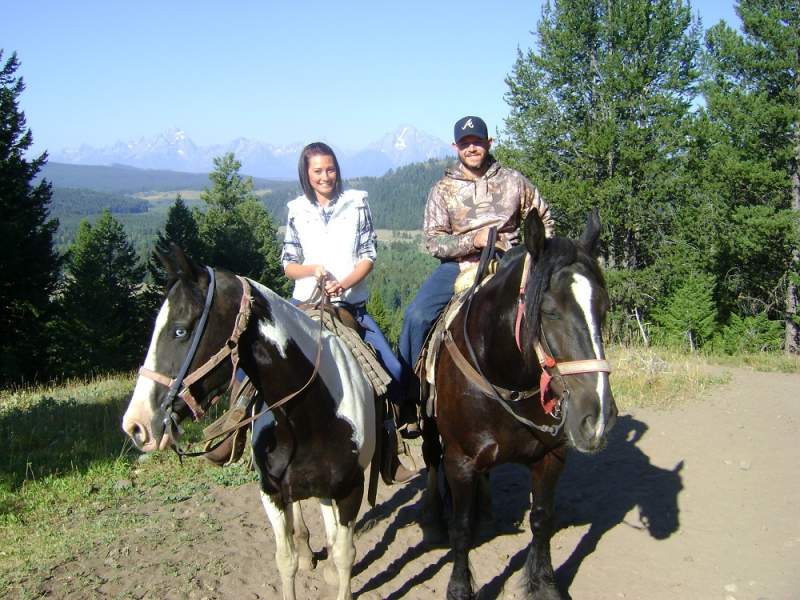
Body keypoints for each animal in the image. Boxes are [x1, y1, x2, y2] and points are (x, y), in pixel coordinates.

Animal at [424, 209, 620, 596]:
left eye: (603, 308)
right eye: (550, 311)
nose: (597, 419)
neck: (506, 378)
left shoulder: (552, 456)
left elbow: (542, 519)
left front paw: (544, 584)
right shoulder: (460, 461)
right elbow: (461, 529)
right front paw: (460, 588)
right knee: (430, 464)